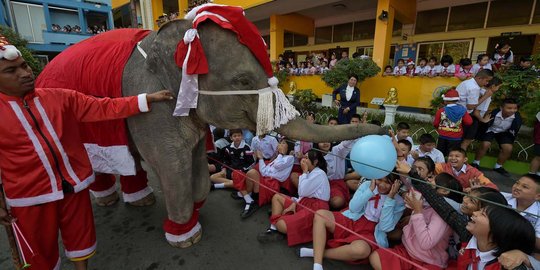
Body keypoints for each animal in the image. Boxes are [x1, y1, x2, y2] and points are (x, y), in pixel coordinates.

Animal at [37, 10, 384, 248]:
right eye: (242, 81)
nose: (381, 134)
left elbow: (195, 160)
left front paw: (197, 209)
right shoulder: (152, 100)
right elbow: (171, 164)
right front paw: (185, 236)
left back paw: (140, 201)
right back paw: (111, 200)